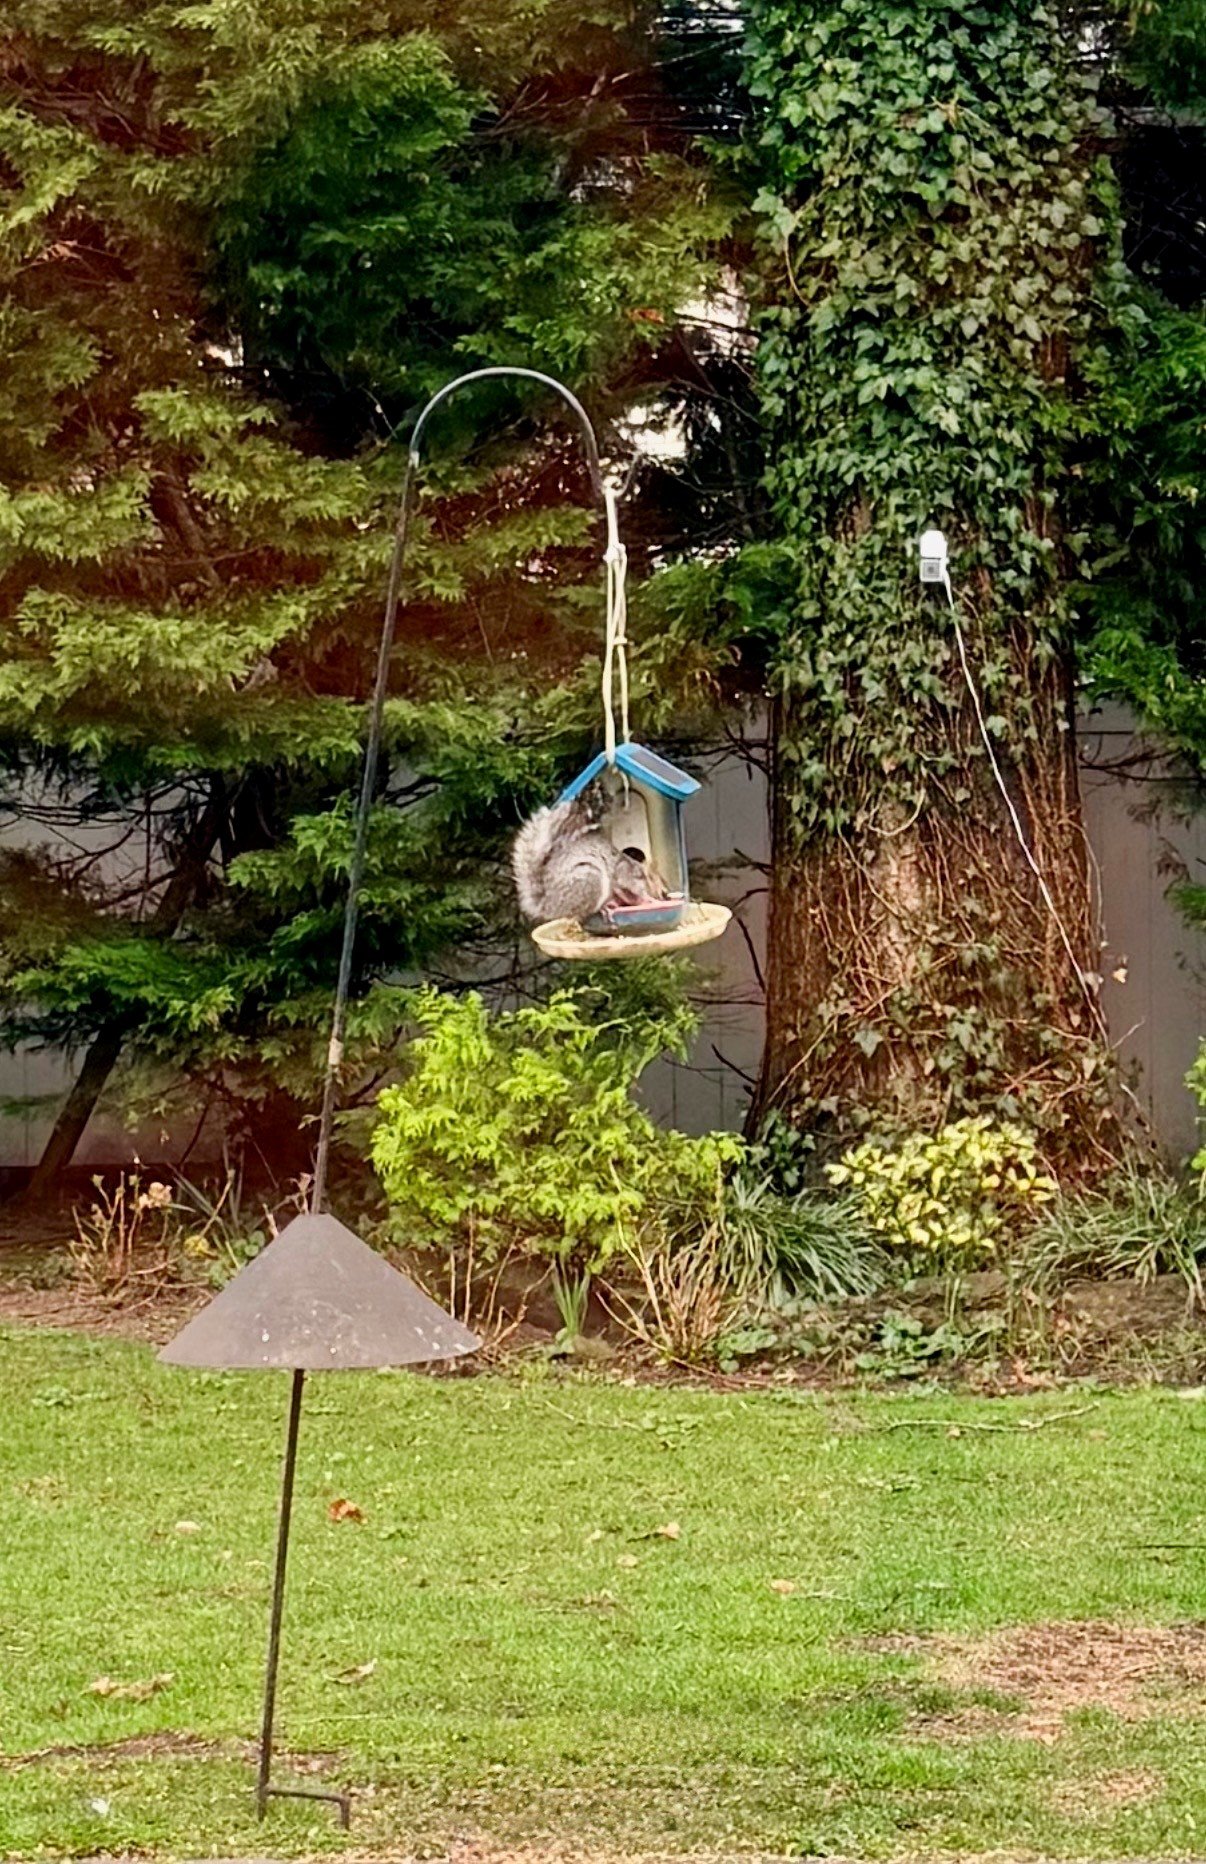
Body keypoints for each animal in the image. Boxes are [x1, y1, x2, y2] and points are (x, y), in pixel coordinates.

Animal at [512, 787, 670, 925]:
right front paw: (650, 900)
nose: (665, 894)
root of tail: (548, 906)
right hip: (590, 879)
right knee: (582, 913)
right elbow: (634, 890)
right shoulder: (625, 873)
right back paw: (603, 909)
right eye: (655, 879)